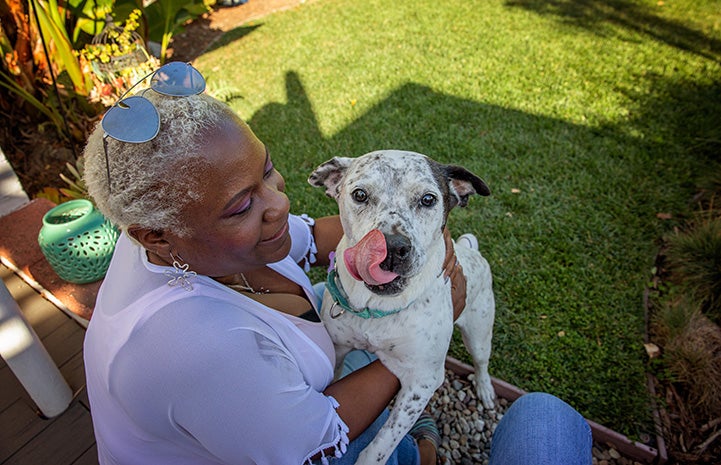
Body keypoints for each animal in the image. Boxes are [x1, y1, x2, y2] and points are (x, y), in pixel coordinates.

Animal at [306, 150, 498, 462]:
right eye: (360, 194)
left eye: (428, 199)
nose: (392, 248)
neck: (374, 307)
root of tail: (471, 249)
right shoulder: (338, 349)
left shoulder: (422, 380)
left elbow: (382, 445)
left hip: (479, 331)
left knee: (481, 362)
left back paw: (484, 389)